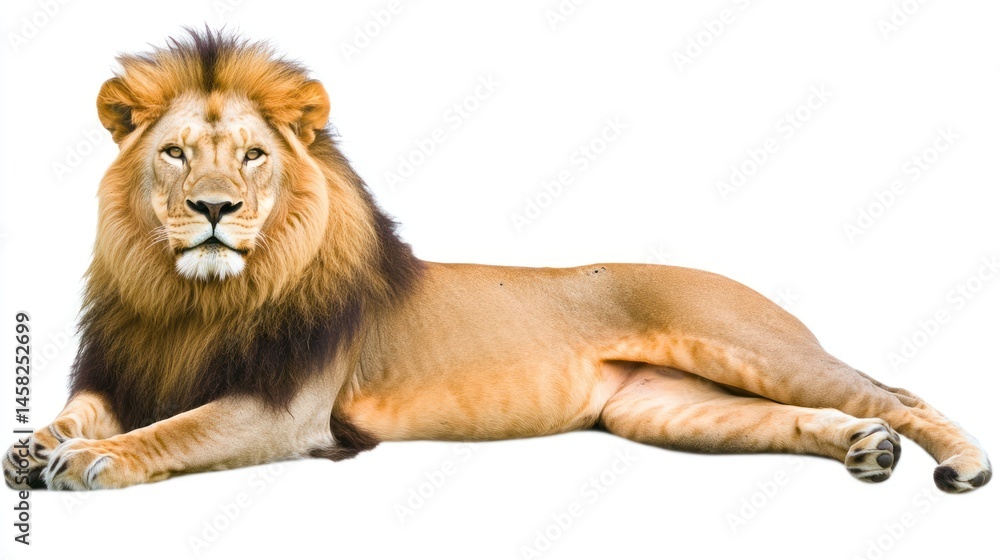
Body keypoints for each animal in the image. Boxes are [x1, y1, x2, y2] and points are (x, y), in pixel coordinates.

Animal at [3, 30, 991, 493]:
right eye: (175, 155)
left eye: (251, 158)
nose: (215, 209)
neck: (193, 299)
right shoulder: (121, 369)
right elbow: (80, 411)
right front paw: (35, 447)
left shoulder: (287, 410)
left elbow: (173, 431)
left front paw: (92, 461)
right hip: (667, 409)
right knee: (813, 416)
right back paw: (861, 448)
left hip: (748, 344)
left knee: (896, 391)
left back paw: (962, 463)